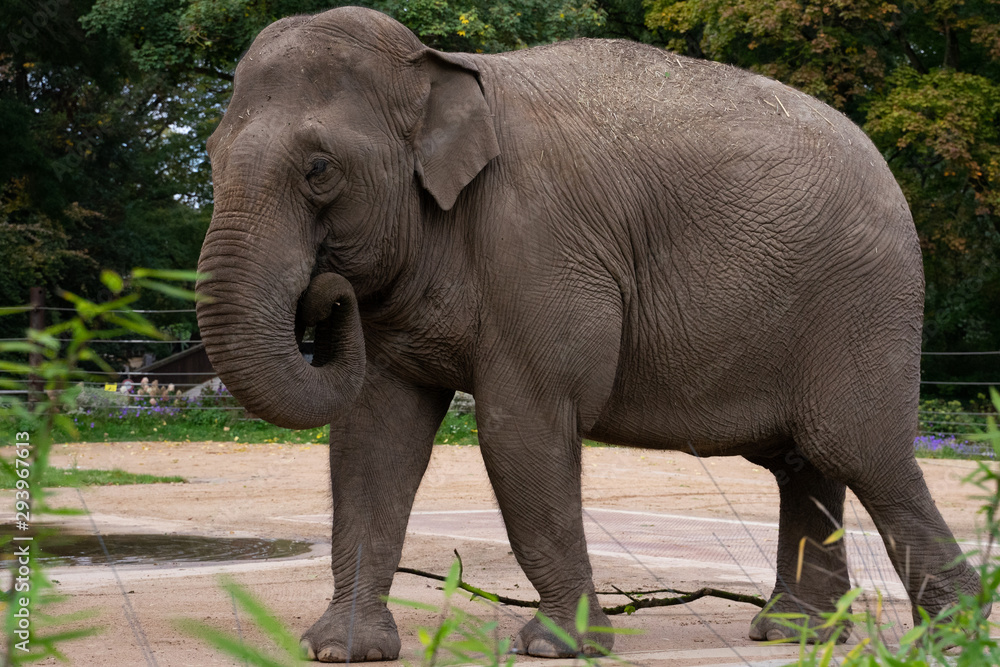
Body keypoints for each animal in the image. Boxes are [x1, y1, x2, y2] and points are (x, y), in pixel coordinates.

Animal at [195, 6, 987, 661]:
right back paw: (797, 634)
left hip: (864, 301)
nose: (326, 295)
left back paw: (955, 634)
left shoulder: (538, 244)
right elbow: (372, 439)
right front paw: (341, 649)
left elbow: (520, 429)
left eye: (319, 169)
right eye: (208, 155)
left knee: (863, 454)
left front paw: (557, 647)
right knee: (807, 463)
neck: (440, 66)